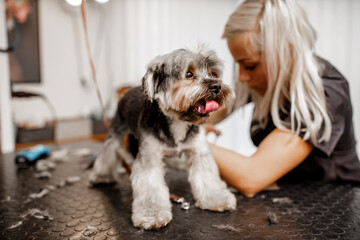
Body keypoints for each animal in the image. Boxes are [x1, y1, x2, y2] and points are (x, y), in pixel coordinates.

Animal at [89, 47, 236, 230]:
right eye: (189, 73)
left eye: (213, 73)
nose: (217, 86)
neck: (178, 122)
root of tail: (128, 90)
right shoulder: (149, 156)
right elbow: (151, 187)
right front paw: (152, 215)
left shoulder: (199, 152)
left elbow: (207, 177)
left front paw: (216, 199)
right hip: (117, 127)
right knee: (108, 153)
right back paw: (101, 176)